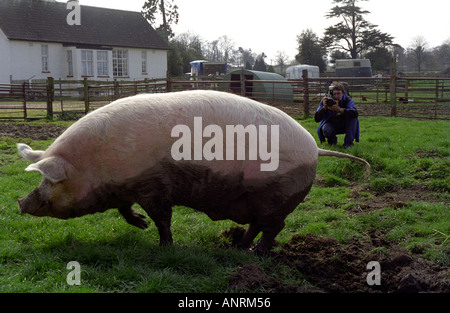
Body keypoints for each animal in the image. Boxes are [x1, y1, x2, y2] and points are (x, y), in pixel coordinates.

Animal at [18, 89, 370, 252]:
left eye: (49, 180)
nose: (20, 202)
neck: (98, 164)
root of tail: (315, 147)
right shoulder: (129, 186)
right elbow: (125, 210)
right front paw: (141, 225)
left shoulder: (154, 185)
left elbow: (162, 218)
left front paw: (162, 246)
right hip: (257, 198)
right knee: (258, 224)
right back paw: (237, 247)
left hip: (276, 194)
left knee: (274, 227)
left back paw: (255, 253)